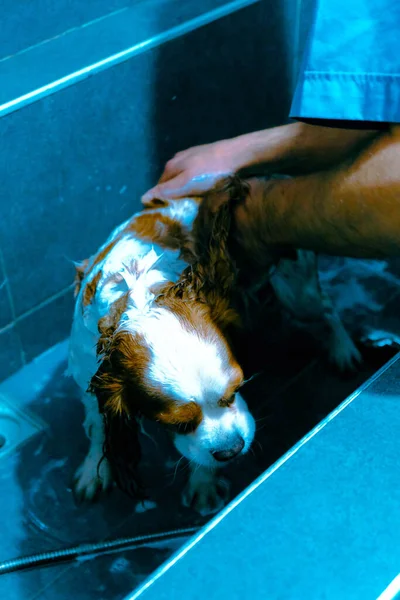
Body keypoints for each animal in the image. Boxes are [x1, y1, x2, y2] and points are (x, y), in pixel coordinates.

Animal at [67, 176, 360, 512]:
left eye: (235, 391)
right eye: (179, 424)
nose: (231, 450)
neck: (138, 292)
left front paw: (203, 482)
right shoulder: (87, 375)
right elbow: (97, 427)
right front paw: (94, 470)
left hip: (298, 294)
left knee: (326, 307)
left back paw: (343, 348)